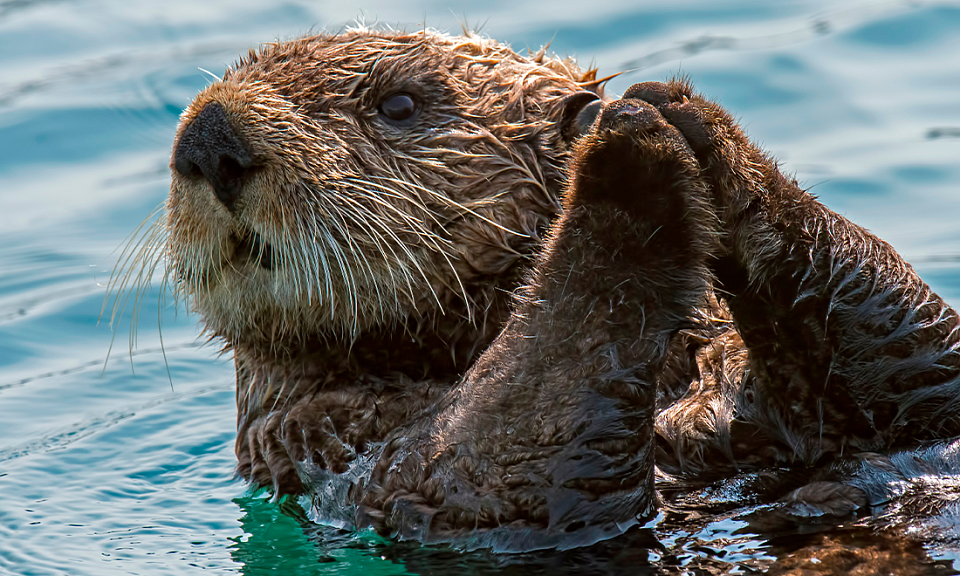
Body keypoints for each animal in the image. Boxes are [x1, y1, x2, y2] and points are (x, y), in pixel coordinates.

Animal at [144, 29, 960, 552]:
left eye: (398, 104)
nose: (209, 137)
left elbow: (922, 364)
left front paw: (692, 122)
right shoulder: (324, 444)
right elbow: (486, 462)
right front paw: (625, 160)